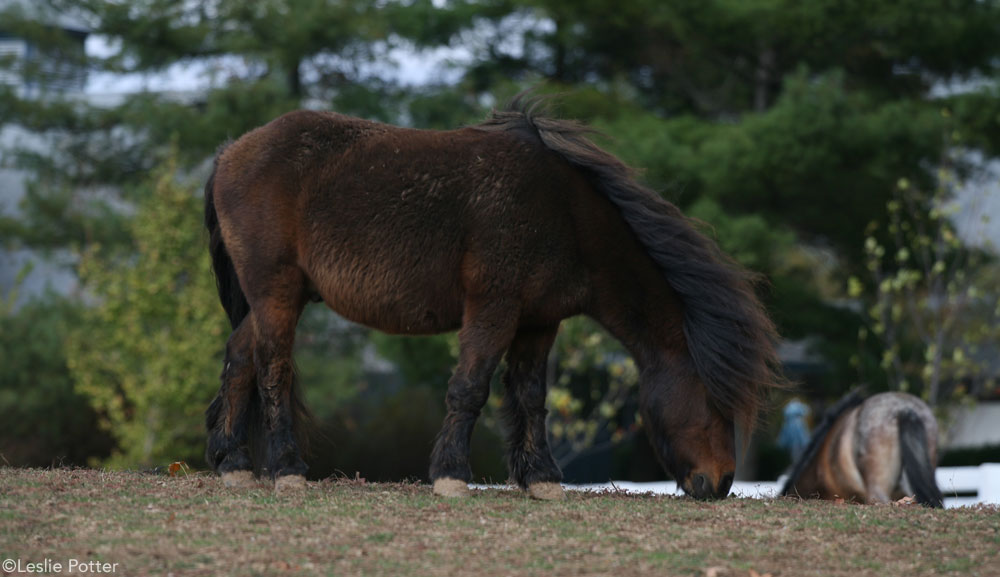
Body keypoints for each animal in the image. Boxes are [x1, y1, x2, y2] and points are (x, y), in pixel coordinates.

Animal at [199, 94, 784, 500]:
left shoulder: (538, 321)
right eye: (713, 400)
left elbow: (530, 396)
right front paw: (452, 476)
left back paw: (233, 464)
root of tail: (229, 152)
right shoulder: (494, 307)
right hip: (277, 292)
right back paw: (287, 469)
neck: (566, 215)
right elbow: (470, 389)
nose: (721, 482)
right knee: (273, 367)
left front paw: (540, 478)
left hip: (276, 297)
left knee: (239, 359)